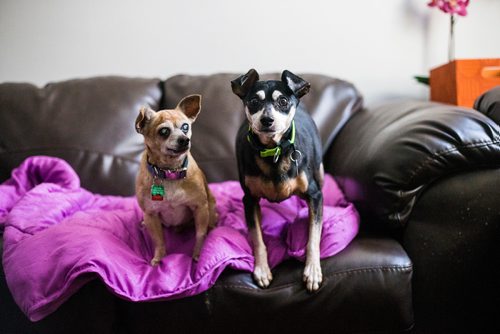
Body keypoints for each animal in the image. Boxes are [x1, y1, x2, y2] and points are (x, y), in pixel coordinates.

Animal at [136, 94, 216, 266]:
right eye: (164, 131)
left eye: (185, 127)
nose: (184, 139)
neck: (170, 171)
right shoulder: (151, 214)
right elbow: (159, 241)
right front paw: (159, 258)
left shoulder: (200, 208)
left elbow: (200, 234)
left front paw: (198, 253)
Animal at [231, 69, 324, 290]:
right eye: (254, 101)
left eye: (283, 101)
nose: (267, 120)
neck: (274, 151)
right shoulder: (249, 199)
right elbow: (257, 237)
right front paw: (262, 269)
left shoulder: (315, 195)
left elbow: (313, 235)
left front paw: (312, 270)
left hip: (320, 172)